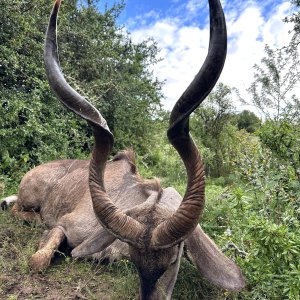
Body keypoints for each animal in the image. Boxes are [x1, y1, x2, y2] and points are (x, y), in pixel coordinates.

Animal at [2, 0, 246, 298]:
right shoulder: (64, 225)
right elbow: (38, 260)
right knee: (17, 209)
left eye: (174, 259)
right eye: (134, 257)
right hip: (30, 198)